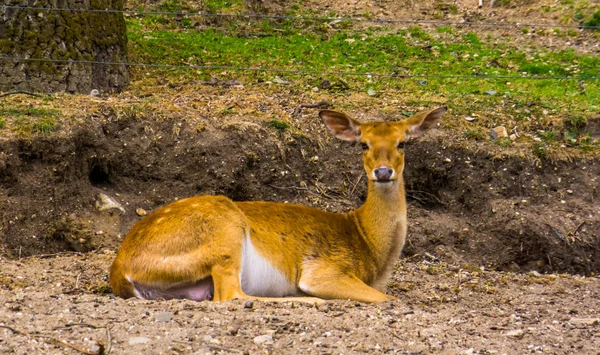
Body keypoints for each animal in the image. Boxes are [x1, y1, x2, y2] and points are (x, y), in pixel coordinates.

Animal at [109, 107, 446, 304]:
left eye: (403, 142)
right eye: (363, 143)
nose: (383, 172)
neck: (368, 246)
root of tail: (120, 270)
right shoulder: (323, 269)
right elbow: (389, 299)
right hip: (223, 233)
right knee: (231, 296)